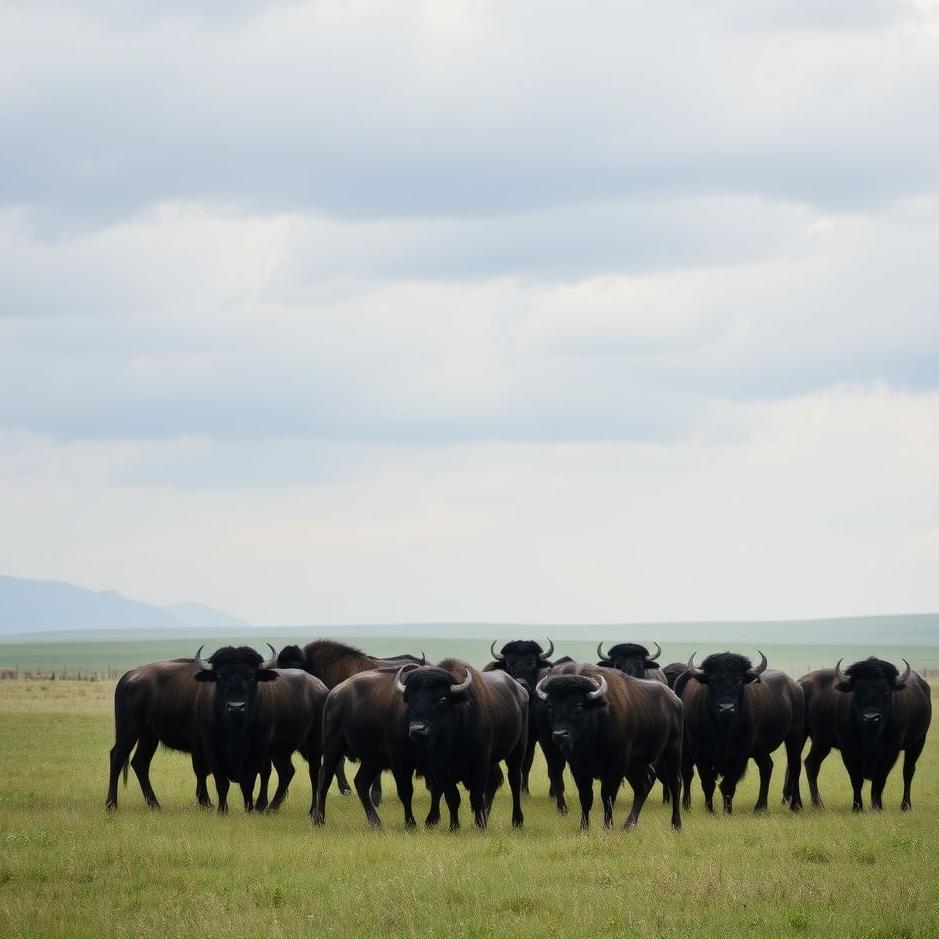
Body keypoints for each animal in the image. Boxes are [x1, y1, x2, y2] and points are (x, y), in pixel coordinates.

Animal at [535, 663, 683, 830]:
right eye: (551, 706)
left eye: (579, 705)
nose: (560, 735)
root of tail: (675, 699)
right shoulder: (578, 767)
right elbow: (585, 796)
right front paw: (583, 827)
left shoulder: (615, 765)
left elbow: (607, 795)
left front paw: (608, 826)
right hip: (635, 765)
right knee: (645, 783)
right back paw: (629, 824)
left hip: (672, 750)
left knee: (675, 783)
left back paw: (676, 824)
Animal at [679, 651, 804, 814]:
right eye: (712, 681)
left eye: (738, 680)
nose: (727, 708)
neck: (723, 729)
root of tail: (796, 687)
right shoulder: (701, 753)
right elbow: (708, 784)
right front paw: (710, 810)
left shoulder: (740, 754)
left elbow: (728, 785)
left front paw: (727, 811)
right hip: (759, 750)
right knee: (767, 767)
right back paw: (760, 807)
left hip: (795, 735)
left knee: (795, 767)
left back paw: (795, 806)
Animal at [798, 657, 932, 811]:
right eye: (858, 689)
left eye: (886, 688)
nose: (871, 717)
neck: (871, 736)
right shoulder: (849, 750)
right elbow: (856, 780)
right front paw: (857, 807)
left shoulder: (890, 752)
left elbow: (879, 780)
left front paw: (877, 807)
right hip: (812, 737)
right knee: (810, 764)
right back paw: (817, 803)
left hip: (918, 742)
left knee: (908, 771)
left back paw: (906, 805)